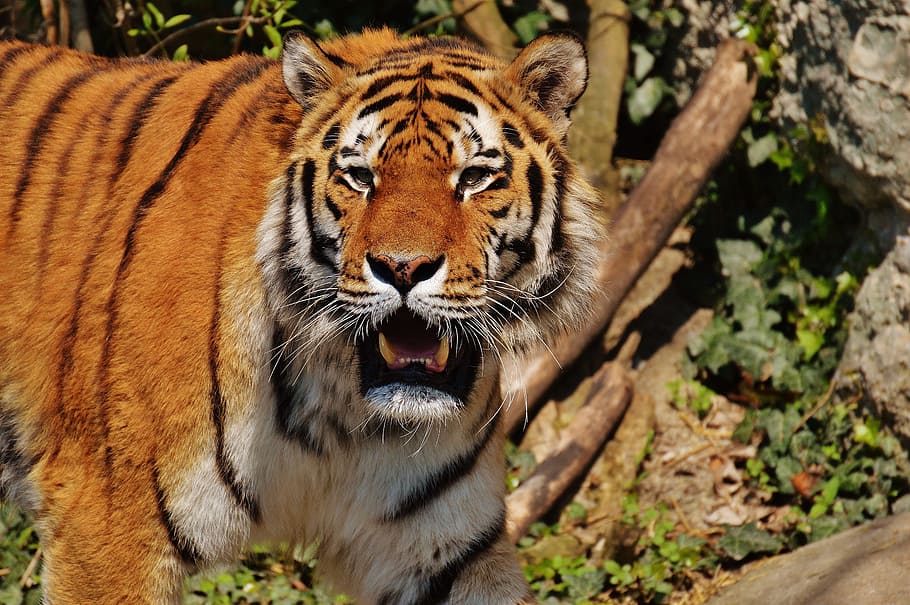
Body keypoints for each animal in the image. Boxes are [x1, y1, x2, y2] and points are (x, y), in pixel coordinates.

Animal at [0, 27, 602, 604]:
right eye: (360, 177)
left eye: (474, 178)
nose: (402, 268)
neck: (346, 411)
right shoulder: (108, 523)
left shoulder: (446, 548)